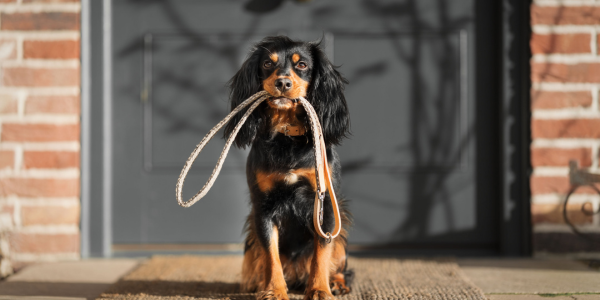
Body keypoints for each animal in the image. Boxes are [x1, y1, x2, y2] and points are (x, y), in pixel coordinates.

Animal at [224, 35, 356, 300]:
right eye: (267, 63)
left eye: (302, 65)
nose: (282, 82)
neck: (287, 134)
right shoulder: (263, 207)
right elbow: (270, 254)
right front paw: (274, 290)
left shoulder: (325, 205)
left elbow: (321, 253)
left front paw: (319, 289)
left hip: (341, 225)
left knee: (341, 262)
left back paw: (336, 282)